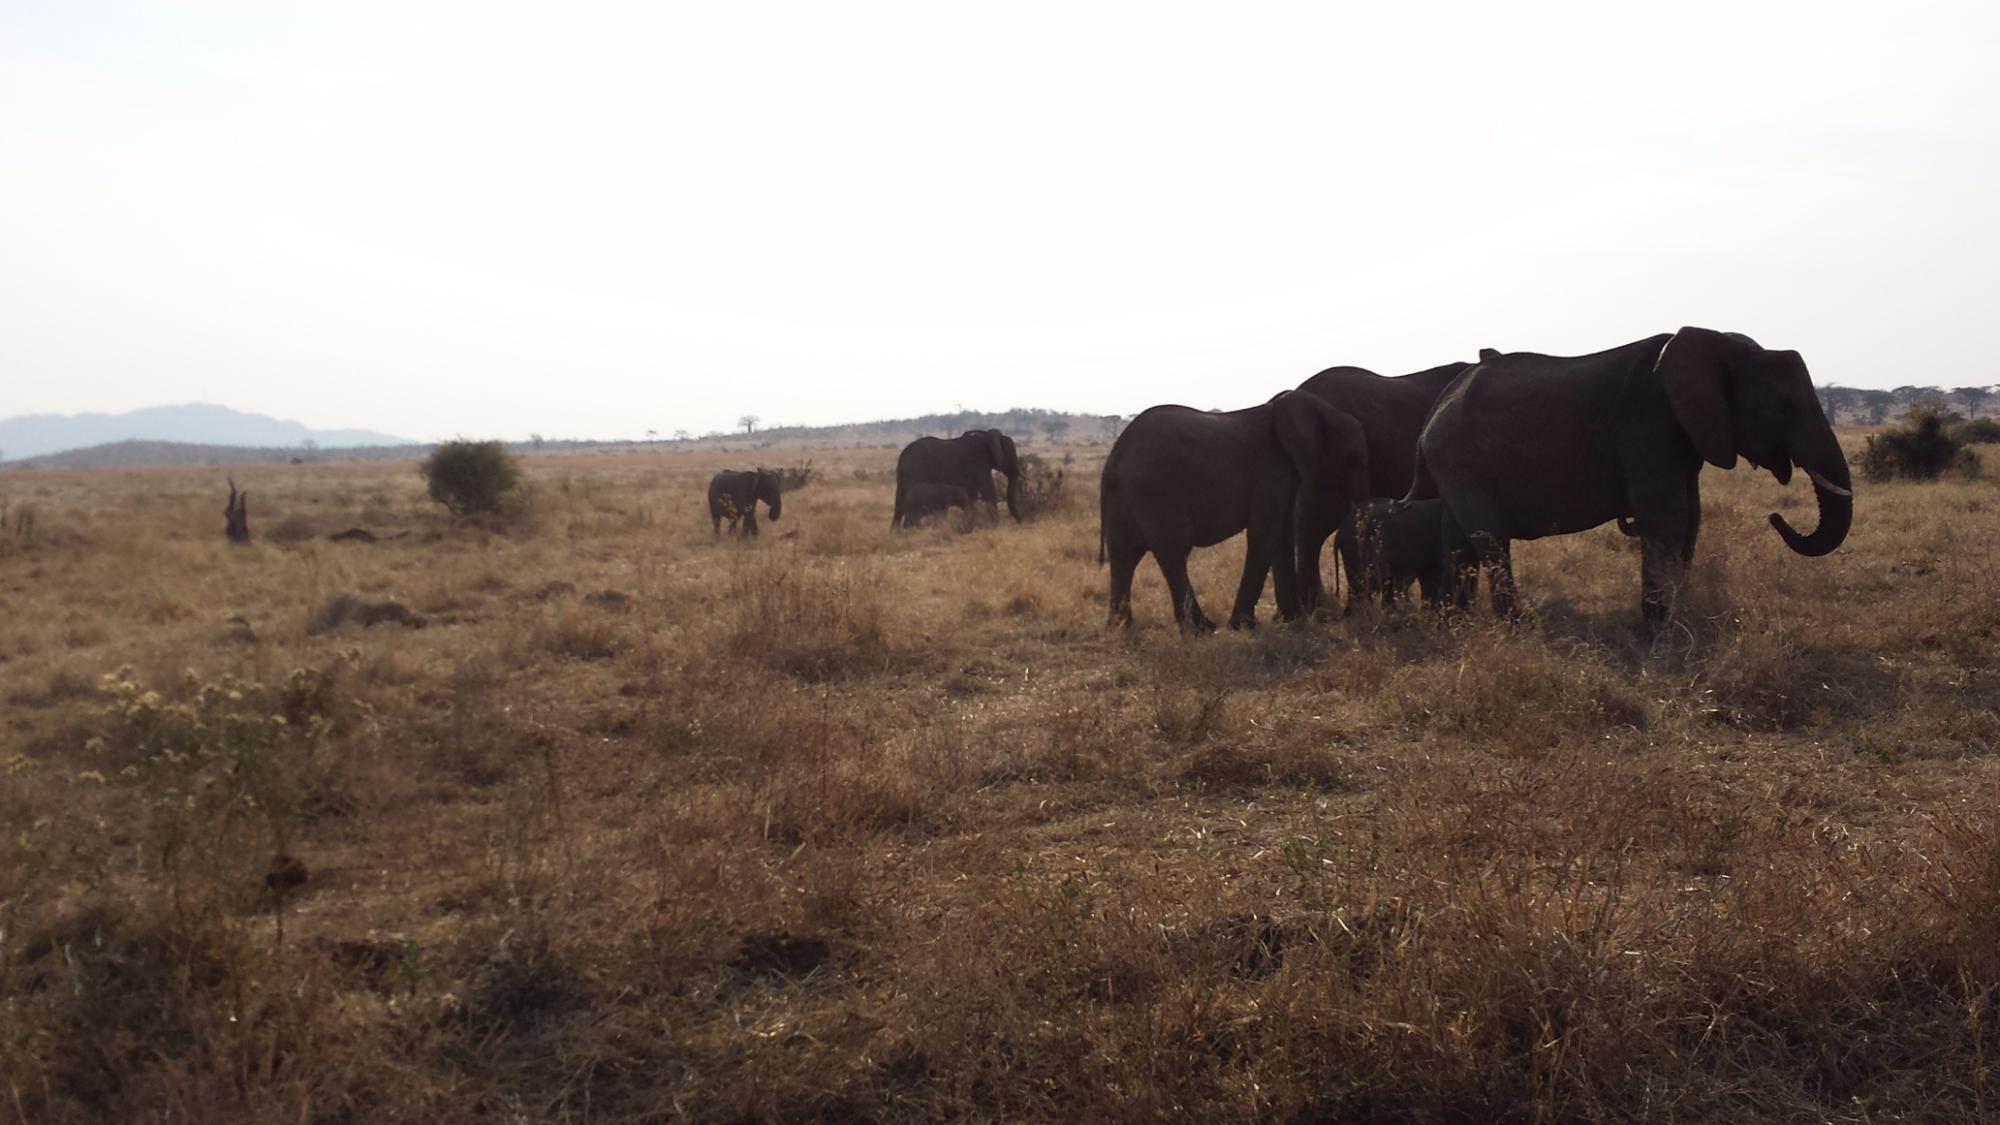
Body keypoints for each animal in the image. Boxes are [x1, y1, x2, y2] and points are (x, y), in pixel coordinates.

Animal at [1100, 391, 1371, 633]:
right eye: (1353, 458)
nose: (1342, 616)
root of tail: (1113, 459)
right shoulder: (1270, 470)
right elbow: (1266, 535)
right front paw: (1243, 626)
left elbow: (1282, 535)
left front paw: (1292, 621)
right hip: (1156, 492)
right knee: (1173, 550)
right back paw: (1202, 629)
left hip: (1126, 500)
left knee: (1124, 556)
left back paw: (1120, 626)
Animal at [1408, 327, 1853, 625]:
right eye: (1783, 407)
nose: (1775, 518)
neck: (1718, 344)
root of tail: (1432, 415)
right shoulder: (1647, 423)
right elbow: (1666, 515)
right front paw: (1658, 627)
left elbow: (1690, 516)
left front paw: (1671, 616)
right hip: (1463, 460)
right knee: (1490, 541)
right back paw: (1516, 628)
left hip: (1457, 465)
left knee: (1460, 542)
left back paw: (1456, 624)